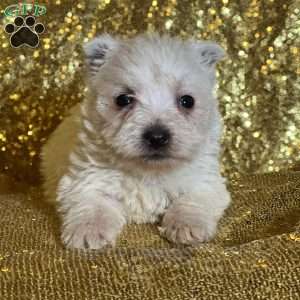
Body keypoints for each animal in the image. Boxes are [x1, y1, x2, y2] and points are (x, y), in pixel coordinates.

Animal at [41, 32, 231, 250]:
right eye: (123, 99)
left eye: (187, 101)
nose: (157, 137)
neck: (148, 171)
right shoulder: (85, 180)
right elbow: (92, 203)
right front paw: (87, 231)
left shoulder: (206, 182)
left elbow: (192, 201)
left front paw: (186, 226)